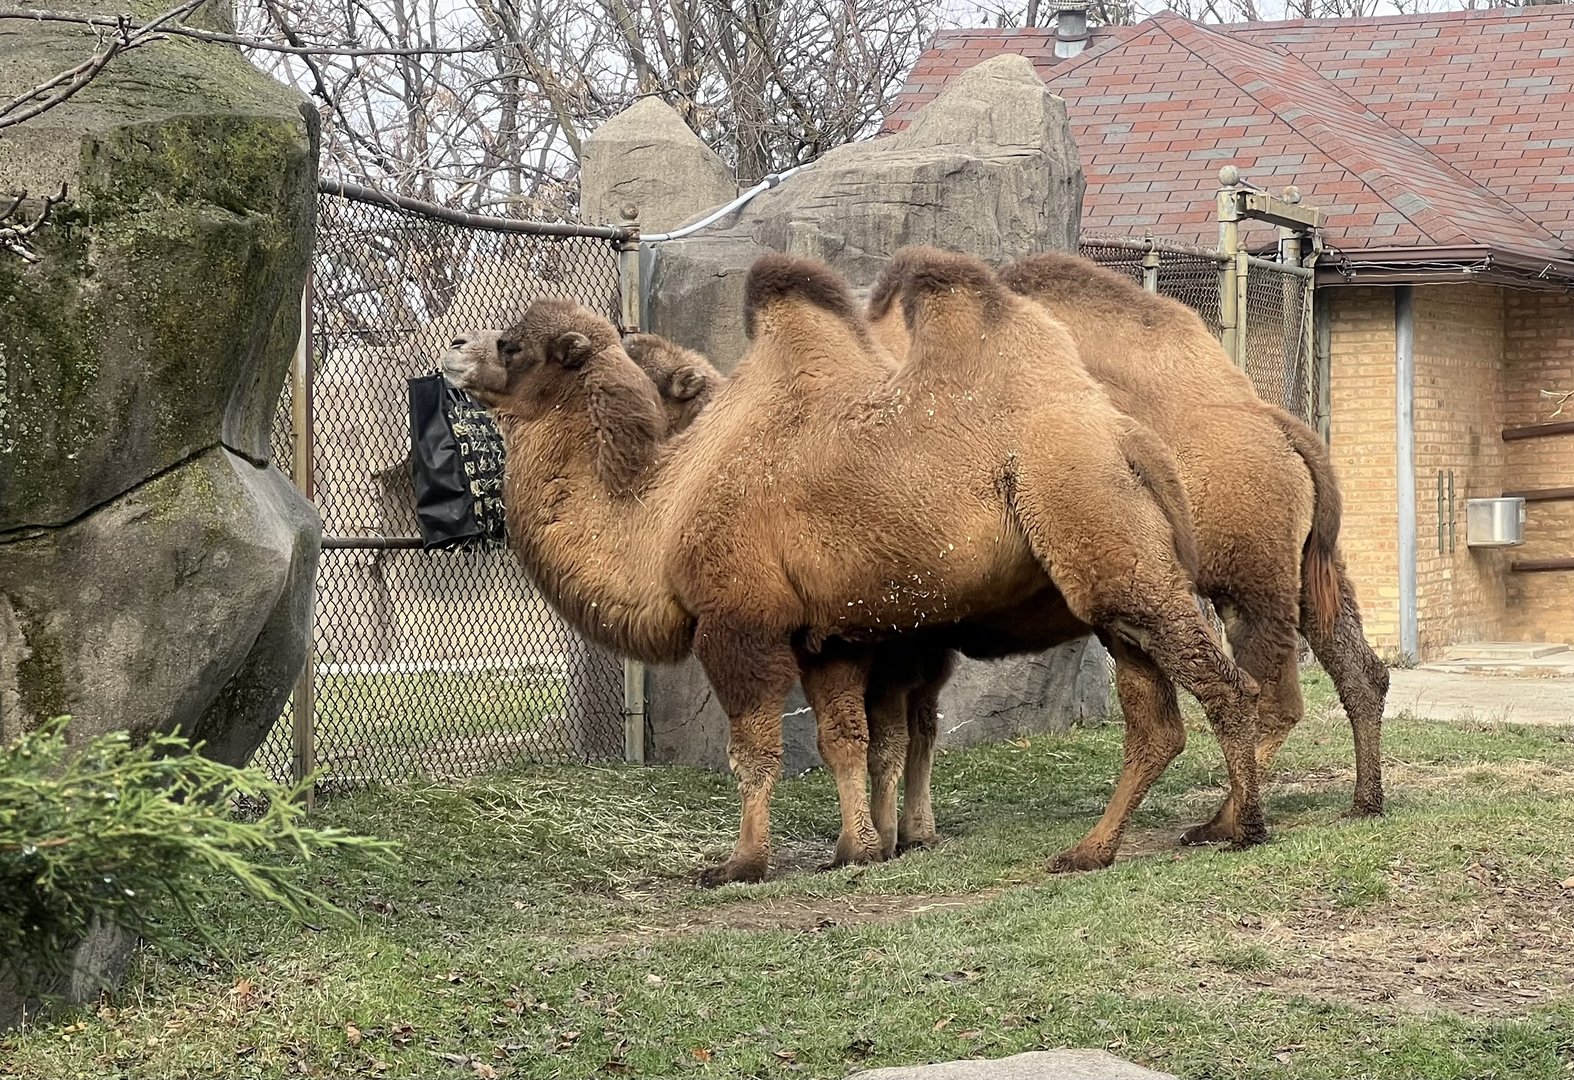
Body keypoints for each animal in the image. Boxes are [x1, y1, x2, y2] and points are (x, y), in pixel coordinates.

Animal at [443, 247, 1263, 886]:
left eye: (514, 345)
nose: (453, 347)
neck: (660, 512)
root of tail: (1132, 440)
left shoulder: (739, 623)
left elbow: (756, 750)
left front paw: (741, 863)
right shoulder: (829, 637)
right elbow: (848, 739)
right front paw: (858, 848)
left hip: (1105, 536)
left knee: (1224, 685)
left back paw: (1236, 829)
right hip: (1113, 579)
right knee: (1155, 718)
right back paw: (1095, 849)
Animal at [624, 248, 1388, 869]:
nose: (631, 335)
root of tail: (1279, 426)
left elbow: (886, 726)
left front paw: (883, 839)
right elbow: (906, 726)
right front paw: (900, 835)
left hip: (1243, 576)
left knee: (1271, 690)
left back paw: (1224, 823)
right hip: (1300, 567)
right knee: (1356, 665)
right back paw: (1360, 800)